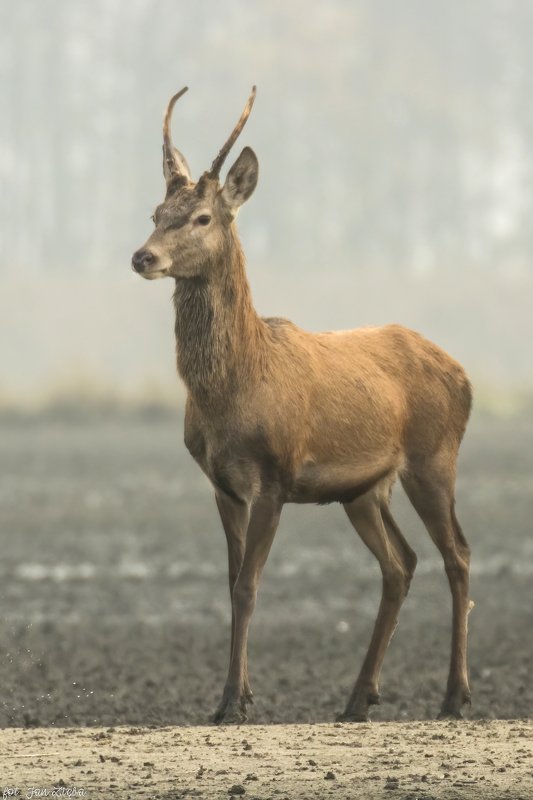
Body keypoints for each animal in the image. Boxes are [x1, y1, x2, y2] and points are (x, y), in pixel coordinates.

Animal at [131, 86, 473, 726]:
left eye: (202, 217)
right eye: (154, 214)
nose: (143, 257)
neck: (233, 392)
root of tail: (464, 373)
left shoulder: (275, 474)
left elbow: (248, 586)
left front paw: (231, 702)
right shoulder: (221, 483)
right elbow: (231, 583)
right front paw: (236, 696)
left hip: (434, 458)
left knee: (457, 555)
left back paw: (454, 696)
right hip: (365, 489)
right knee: (401, 564)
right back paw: (358, 698)